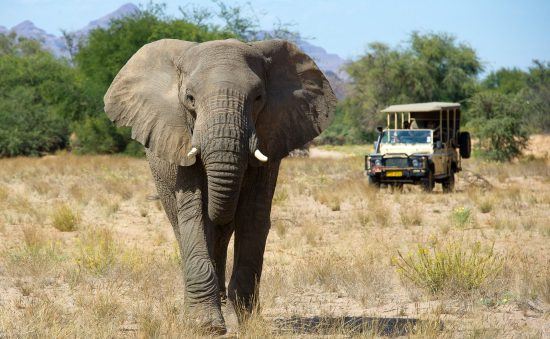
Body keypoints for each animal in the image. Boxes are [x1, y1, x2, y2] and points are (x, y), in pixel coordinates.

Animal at [103, 37, 336, 334]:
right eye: (190, 99)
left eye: (258, 98)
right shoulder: (181, 140)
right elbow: (195, 214)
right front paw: (207, 326)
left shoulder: (272, 133)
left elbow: (253, 215)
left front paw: (248, 321)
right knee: (184, 225)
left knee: (223, 232)